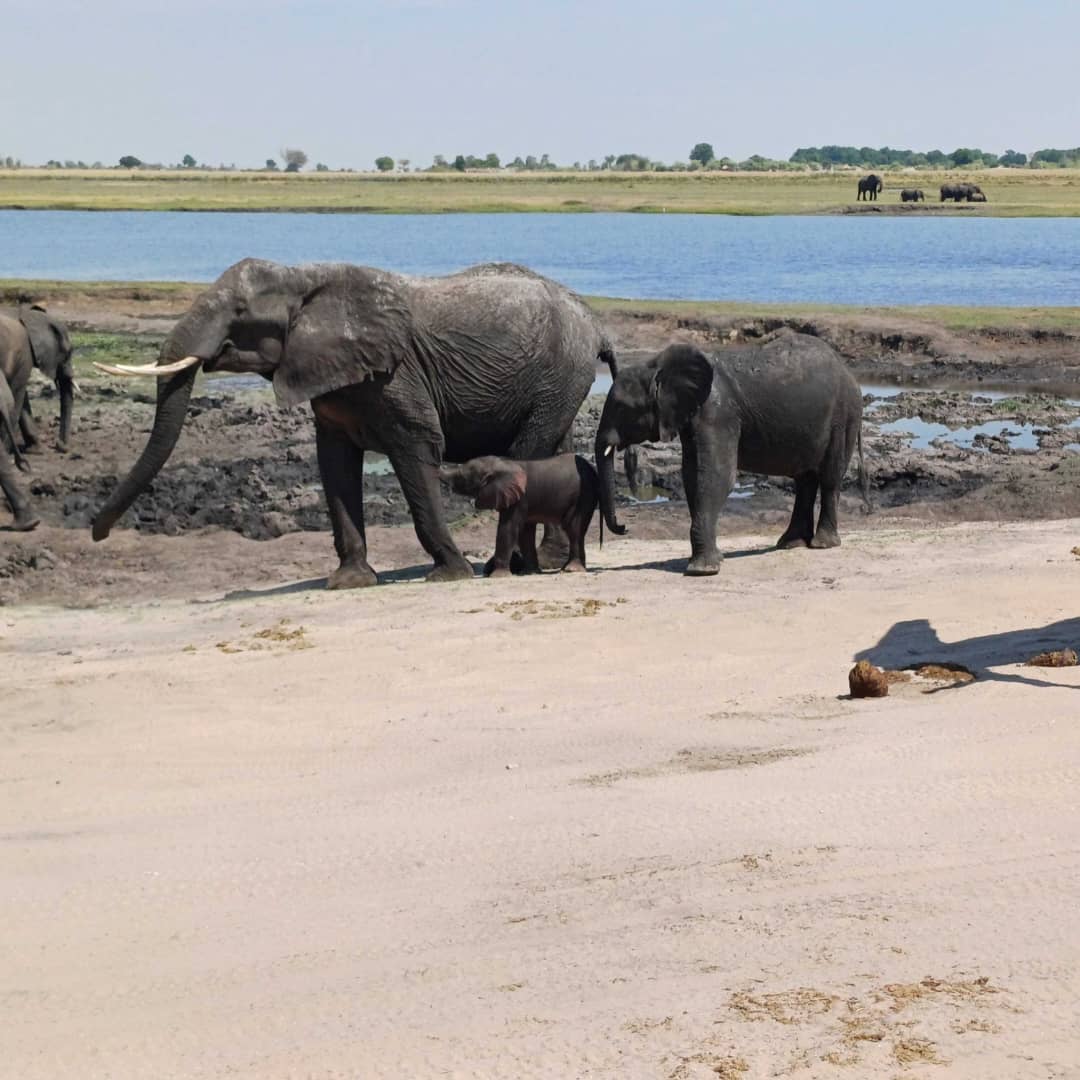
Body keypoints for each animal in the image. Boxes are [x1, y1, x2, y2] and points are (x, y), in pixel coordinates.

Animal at [441, 453, 600, 575]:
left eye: (462, 478)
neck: (504, 464)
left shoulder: (519, 499)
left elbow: (508, 528)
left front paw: (498, 576)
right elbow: (525, 532)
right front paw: (530, 573)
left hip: (582, 496)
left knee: (573, 528)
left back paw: (571, 570)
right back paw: (571, 569)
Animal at [594, 332, 867, 576]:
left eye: (623, 408)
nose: (624, 527)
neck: (657, 365)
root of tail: (848, 372)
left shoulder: (717, 413)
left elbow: (715, 475)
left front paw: (702, 570)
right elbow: (692, 475)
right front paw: (713, 560)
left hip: (845, 415)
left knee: (830, 477)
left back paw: (822, 544)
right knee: (805, 480)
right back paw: (790, 544)